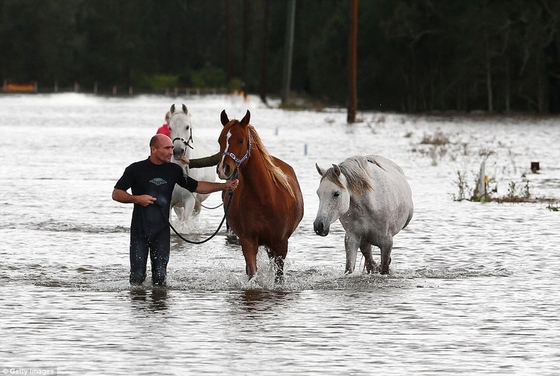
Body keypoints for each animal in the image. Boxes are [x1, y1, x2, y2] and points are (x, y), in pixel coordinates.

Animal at [217, 110, 304, 280]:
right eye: (220, 140)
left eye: (241, 140)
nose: (224, 169)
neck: (265, 197)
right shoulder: (248, 241)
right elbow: (252, 272)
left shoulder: (280, 243)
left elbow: (279, 276)